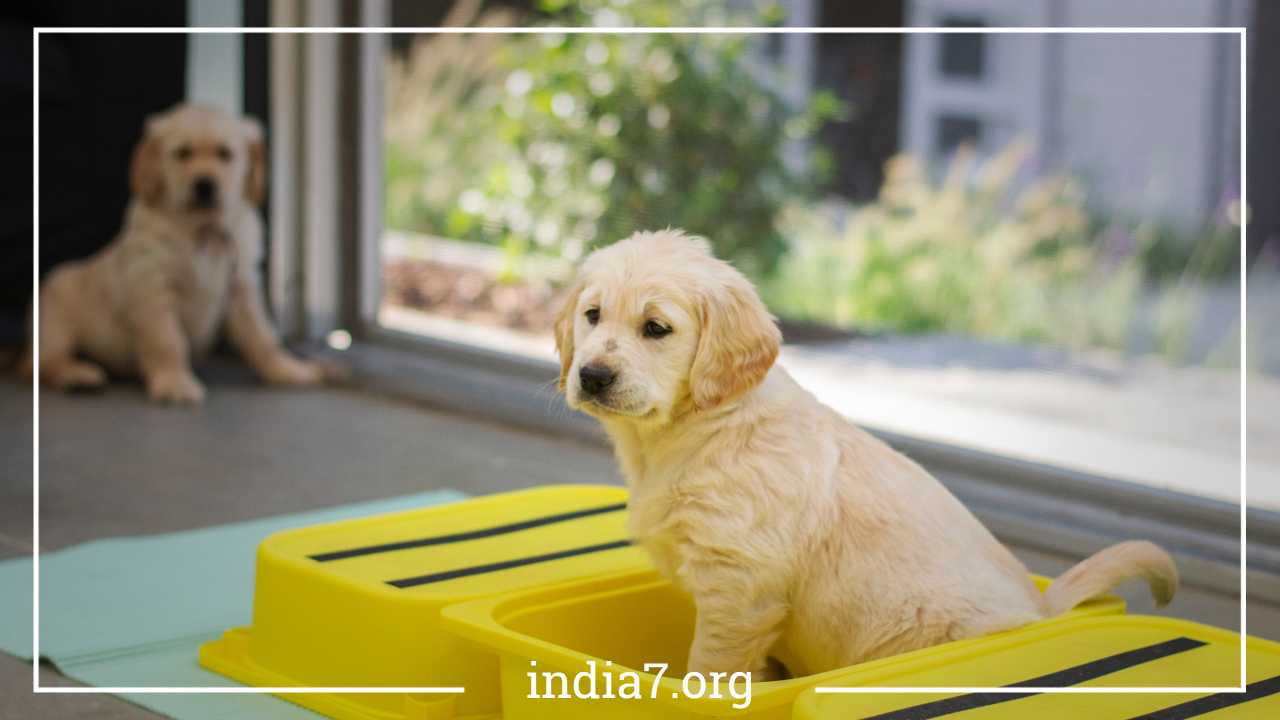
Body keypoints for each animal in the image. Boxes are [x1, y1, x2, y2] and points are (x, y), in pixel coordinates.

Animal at [555, 230, 1172, 676]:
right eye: (593, 315)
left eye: (656, 328)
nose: (592, 375)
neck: (694, 430)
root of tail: (1041, 613)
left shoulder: (739, 590)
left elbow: (713, 669)